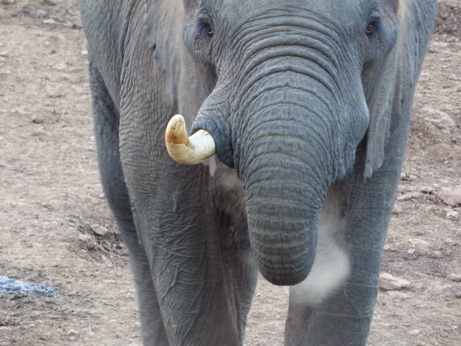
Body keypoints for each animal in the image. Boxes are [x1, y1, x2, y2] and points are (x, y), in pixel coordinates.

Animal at [78, 0, 434, 344]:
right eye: (206, 29)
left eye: (372, 28)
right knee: (127, 211)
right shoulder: (153, 66)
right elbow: (188, 254)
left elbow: (351, 259)